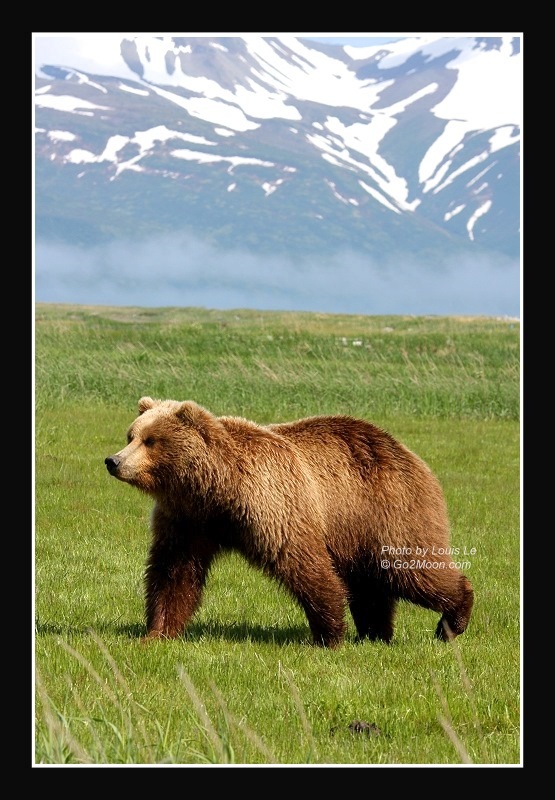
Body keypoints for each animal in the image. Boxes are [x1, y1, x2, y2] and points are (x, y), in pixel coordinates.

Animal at [104, 397, 474, 647]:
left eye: (151, 440)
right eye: (130, 435)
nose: (113, 461)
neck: (216, 487)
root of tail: (407, 452)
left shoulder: (273, 503)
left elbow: (303, 563)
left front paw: (328, 635)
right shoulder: (189, 520)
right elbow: (174, 574)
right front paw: (156, 632)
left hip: (388, 512)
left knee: (411, 568)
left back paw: (452, 620)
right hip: (355, 528)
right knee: (370, 585)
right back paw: (374, 633)